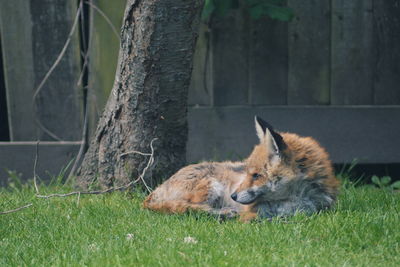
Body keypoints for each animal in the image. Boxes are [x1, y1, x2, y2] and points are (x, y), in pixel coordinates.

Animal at [142, 115, 340, 222]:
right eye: (247, 173)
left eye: (256, 175)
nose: (233, 197)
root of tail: (152, 194)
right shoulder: (251, 213)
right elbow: (260, 218)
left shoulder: (314, 210)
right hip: (210, 186)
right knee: (189, 208)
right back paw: (222, 214)